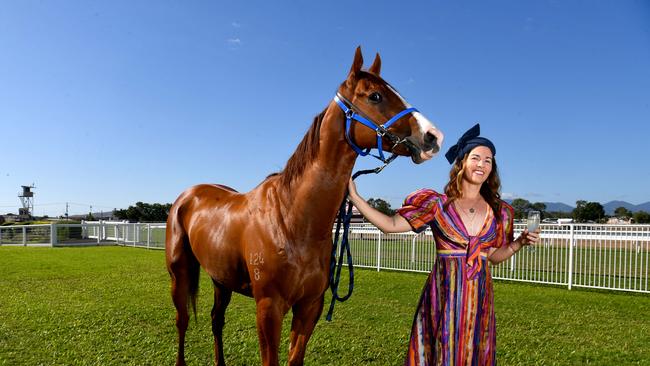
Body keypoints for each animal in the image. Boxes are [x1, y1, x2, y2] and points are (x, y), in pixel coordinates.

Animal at [165, 48, 442, 366]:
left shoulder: (310, 307)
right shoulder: (269, 308)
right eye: (375, 96)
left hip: (220, 278)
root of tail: (188, 195)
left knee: (215, 320)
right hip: (180, 273)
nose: (433, 136)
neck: (293, 220)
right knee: (182, 321)